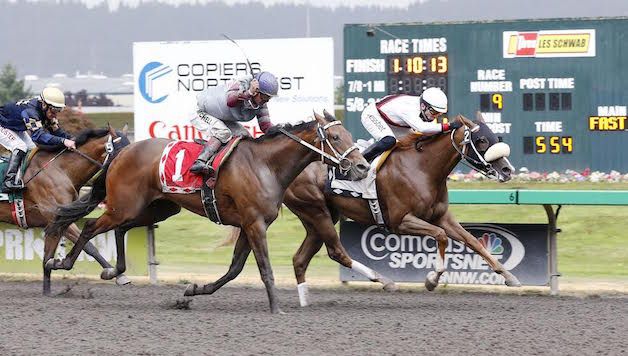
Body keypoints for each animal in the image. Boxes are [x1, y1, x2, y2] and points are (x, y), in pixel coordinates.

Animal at [0, 125, 131, 294]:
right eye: (121, 150)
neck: (60, 169)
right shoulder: (57, 217)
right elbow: (49, 254)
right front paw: (47, 288)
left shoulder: (64, 217)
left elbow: (89, 247)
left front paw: (118, 275)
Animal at [46, 110, 370, 312]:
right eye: (336, 138)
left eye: (347, 133)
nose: (363, 166)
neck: (265, 165)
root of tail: (124, 150)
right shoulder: (254, 224)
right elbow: (264, 269)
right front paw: (276, 308)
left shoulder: (250, 224)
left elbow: (234, 269)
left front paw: (194, 290)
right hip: (123, 205)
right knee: (91, 227)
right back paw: (59, 262)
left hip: (157, 208)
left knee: (121, 228)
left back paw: (115, 270)